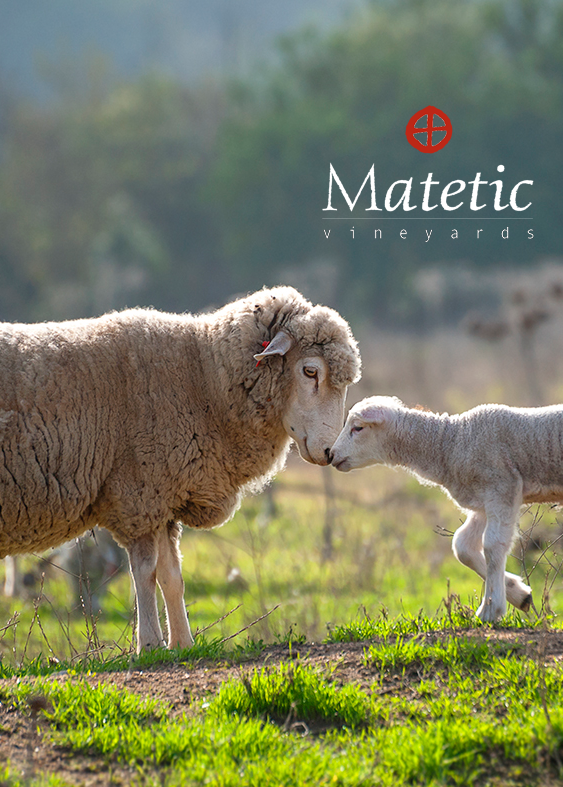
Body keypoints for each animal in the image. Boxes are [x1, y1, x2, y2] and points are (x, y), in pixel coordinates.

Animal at [0, 286, 361, 651]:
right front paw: (148, 645)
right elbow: (146, 572)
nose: (329, 452)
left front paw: (181, 645)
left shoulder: (164, 496)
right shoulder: (139, 494)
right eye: (310, 371)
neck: (202, 377)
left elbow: (172, 576)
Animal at [330, 395, 563, 622]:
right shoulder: (482, 501)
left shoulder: (501, 487)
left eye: (358, 428)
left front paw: (490, 610)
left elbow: (492, 546)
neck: (451, 443)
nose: (331, 455)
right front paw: (519, 594)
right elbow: (462, 545)